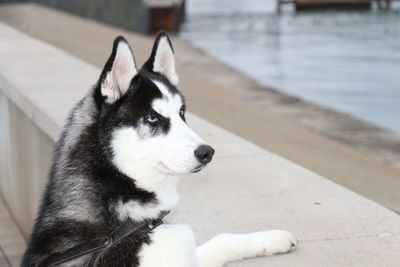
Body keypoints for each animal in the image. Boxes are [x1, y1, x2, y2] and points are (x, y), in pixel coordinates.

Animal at [21, 32, 296, 266]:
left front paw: (273, 238)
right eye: (153, 119)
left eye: (182, 113)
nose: (207, 152)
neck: (120, 226)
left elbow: (222, 239)